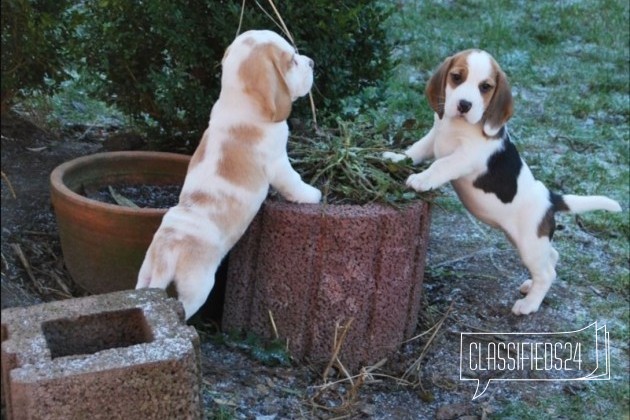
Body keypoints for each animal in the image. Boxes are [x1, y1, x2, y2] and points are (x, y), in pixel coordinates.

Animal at [140, 30, 324, 318]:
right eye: (292, 61)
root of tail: (167, 250)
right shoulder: (278, 163)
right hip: (198, 287)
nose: (312, 62)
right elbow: (294, 183)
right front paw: (312, 195)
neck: (239, 103)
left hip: (145, 274)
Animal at [386, 49, 624, 316]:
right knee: (552, 257)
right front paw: (393, 158)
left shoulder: (466, 157)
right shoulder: (432, 139)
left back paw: (529, 304)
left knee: (547, 273)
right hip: (528, 240)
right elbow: (414, 151)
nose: (464, 105)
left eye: (485, 87)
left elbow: (441, 164)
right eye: (456, 77)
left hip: (529, 244)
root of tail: (551, 198)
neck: (456, 126)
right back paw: (530, 286)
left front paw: (421, 179)